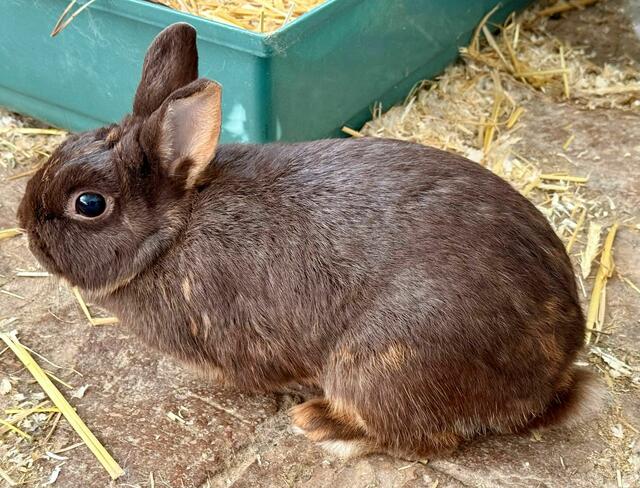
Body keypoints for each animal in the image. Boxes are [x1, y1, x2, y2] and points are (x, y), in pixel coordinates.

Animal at [17, 23, 604, 459]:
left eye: (89, 204)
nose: (24, 225)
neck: (173, 233)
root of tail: (552, 380)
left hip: (378, 365)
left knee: (420, 439)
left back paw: (319, 422)